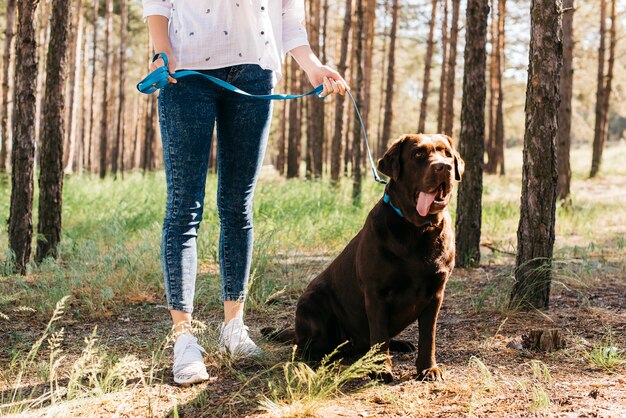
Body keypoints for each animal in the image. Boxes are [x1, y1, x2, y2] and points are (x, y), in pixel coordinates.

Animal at [260, 134, 460, 382]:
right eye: (418, 155)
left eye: (447, 154)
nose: (445, 167)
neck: (418, 230)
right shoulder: (376, 293)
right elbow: (379, 335)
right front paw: (381, 369)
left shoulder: (435, 293)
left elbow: (428, 337)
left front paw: (427, 368)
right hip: (312, 302)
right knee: (305, 347)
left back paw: (398, 344)